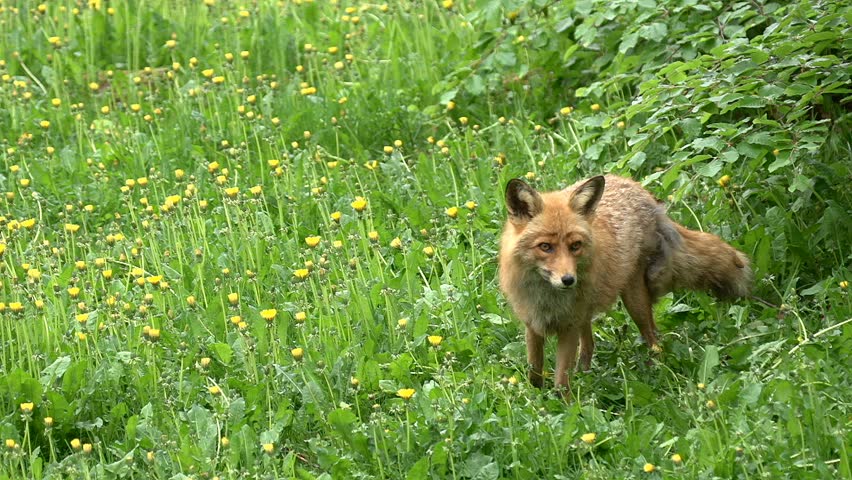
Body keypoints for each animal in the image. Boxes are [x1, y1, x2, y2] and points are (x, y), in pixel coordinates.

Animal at [498, 174, 751, 399]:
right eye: (545, 247)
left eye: (575, 246)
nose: (569, 280)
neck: (547, 299)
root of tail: (636, 186)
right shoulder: (533, 324)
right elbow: (534, 371)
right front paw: (537, 398)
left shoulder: (568, 328)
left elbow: (561, 381)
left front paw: (564, 407)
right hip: (589, 311)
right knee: (589, 344)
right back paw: (585, 373)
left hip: (634, 300)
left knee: (654, 338)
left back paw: (656, 371)